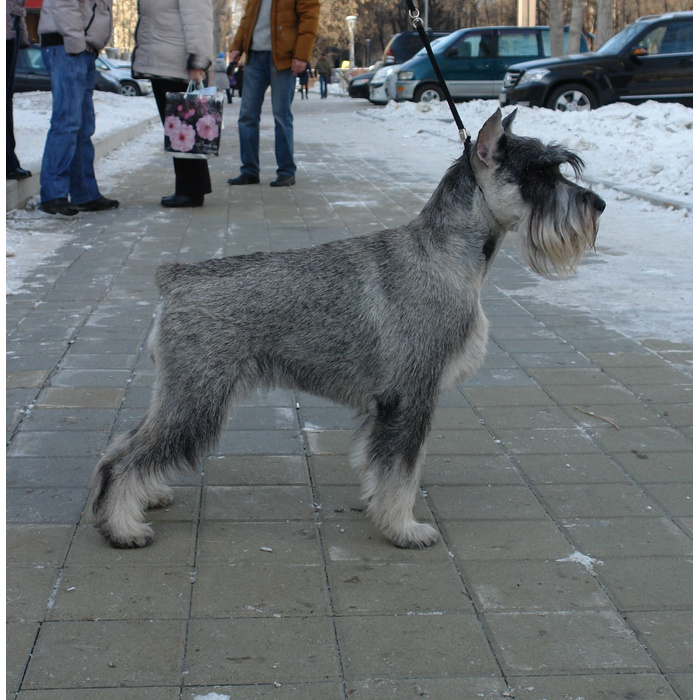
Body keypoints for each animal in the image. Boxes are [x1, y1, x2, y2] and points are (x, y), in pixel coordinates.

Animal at [91, 108, 608, 548]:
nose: (599, 204)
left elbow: (385, 466)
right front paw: (404, 529)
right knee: (122, 458)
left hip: (179, 391)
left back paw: (147, 498)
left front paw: (386, 513)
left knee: (125, 441)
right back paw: (122, 528)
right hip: (198, 397)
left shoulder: (393, 403)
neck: (444, 253)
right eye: (539, 174)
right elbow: (402, 470)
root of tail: (175, 277)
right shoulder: (412, 395)